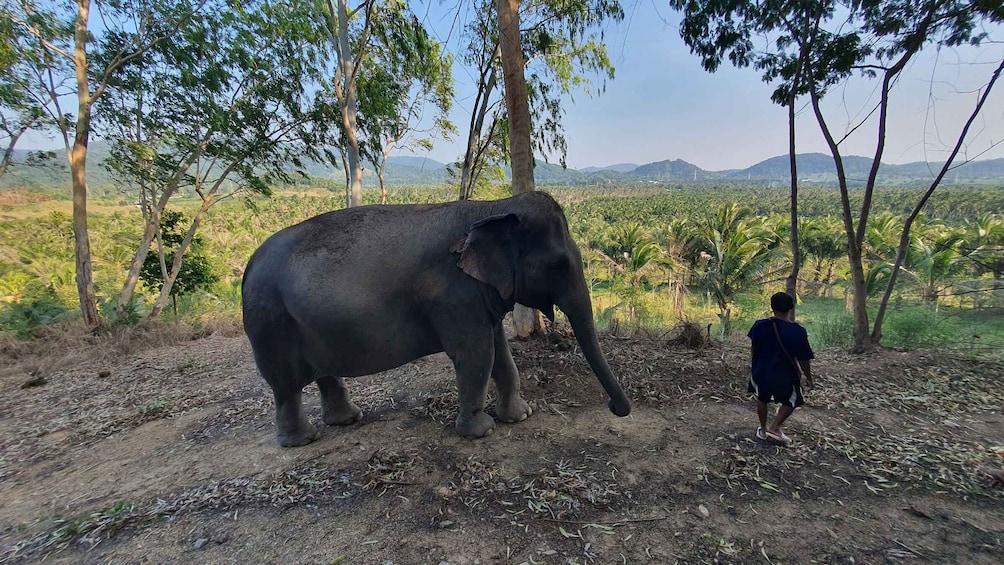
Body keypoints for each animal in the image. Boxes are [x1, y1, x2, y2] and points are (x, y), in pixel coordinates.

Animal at [241, 191, 631, 447]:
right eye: (559, 265)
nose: (615, 409)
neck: (494, 206)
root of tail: (248, 266)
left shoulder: (480, 294)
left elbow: (500, 352)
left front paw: (521, 415)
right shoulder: (453, 294)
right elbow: (476, 354)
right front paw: (482, 431)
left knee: (322, 373)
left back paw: (347, 419)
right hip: (269, 323)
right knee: (285, 384)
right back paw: (302, 440)